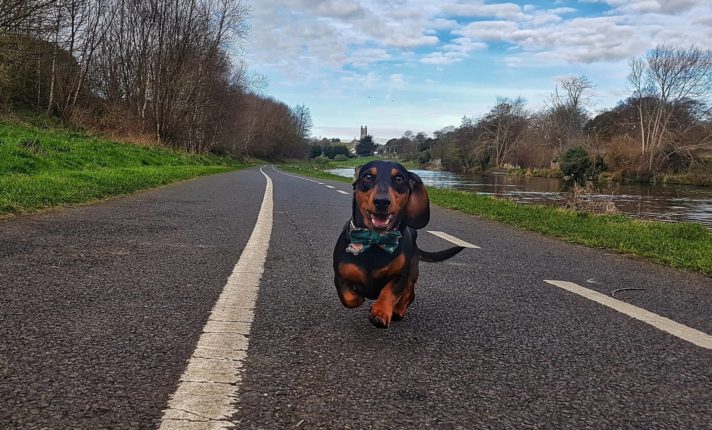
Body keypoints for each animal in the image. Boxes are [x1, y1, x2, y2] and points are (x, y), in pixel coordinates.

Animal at [332, 160, 464, 328]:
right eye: (367, 176)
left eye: (399, 178)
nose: (382, 201)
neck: (375, 240)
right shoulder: (340, 277)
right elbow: (349, 298)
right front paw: (360, 298)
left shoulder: (400, 275)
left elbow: (389, 292)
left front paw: (380, 313)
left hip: (413, 271)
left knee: (409, 294)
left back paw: (398, 310)